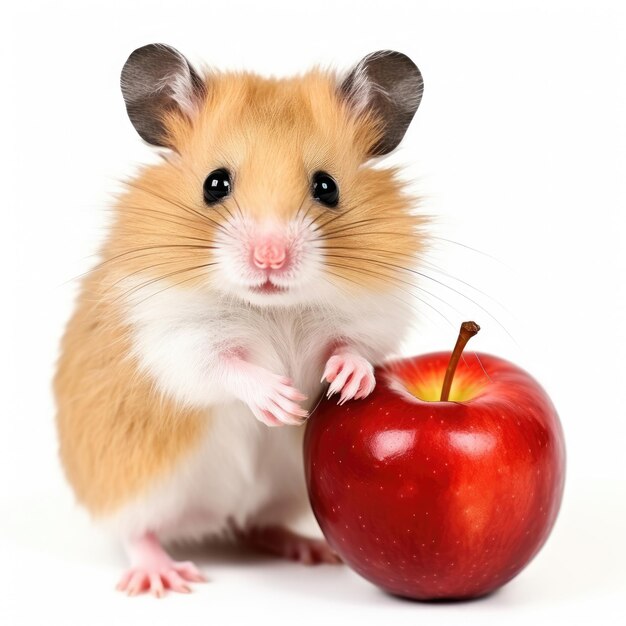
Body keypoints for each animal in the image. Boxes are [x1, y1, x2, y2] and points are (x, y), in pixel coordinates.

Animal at [53, 44, 426, 596]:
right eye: (215, 184)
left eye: (327, 187)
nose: (270, 258)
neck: (274, 307)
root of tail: (216, 517)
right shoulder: (173, 338)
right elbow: (224, 367)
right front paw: (283, 403)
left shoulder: (376, 313)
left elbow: (356, 347)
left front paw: (345, 383)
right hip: (135, 489)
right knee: (137, 534)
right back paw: (165, 578)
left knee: (259, 524)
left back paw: (310, 550)